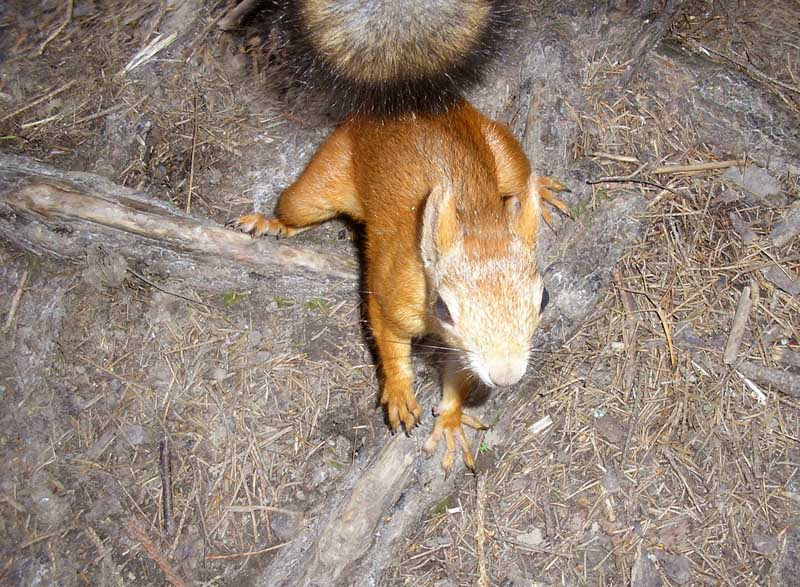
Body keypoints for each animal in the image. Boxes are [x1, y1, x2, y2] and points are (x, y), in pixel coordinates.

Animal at [229, 0, 569, 473]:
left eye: (545, 298)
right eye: (443, 307)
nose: (505, 376)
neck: (475, 219)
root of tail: (404, 101)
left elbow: (458, 374)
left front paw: (450, 420)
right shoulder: (392, 292)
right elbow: (387, 339)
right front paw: (400, 392)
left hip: (498, 148)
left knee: (519, 174)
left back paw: (541, 189)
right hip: (324, 177)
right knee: (298, 208)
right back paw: (270, 223)